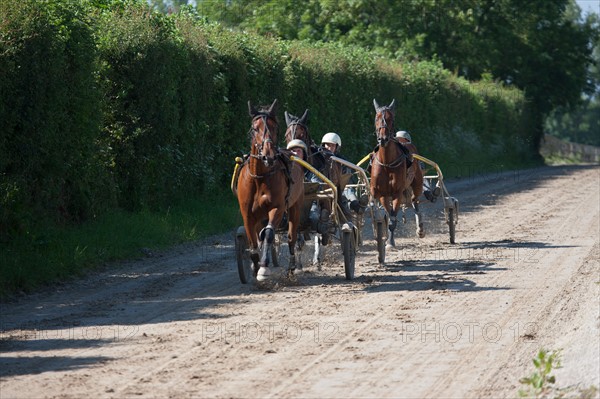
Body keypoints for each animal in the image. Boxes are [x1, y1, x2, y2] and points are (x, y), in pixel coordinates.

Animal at [236, 100, 304, 282]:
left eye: (275, 127)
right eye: (255, 128)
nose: (269, 156)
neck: (259, 178)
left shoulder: (277, 208)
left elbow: (268, 235)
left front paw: (263, 269)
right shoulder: (247, 213)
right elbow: (253, 241)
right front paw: (255, 266)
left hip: (295, 205)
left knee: (292, 237)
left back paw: (293, 266)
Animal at [368, 98, 424, 247]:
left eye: (391, 119)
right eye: (376, 118)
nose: (383, 139)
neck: (387, 163)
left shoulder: (397, 192)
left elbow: (393, 217)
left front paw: (390, 242)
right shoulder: (382, 193)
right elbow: (388, 214)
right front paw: (386, 238)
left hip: (417, 182)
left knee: (415, 200)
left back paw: (420, 228)